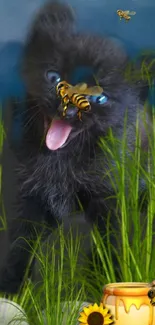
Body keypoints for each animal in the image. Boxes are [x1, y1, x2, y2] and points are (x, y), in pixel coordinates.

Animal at [0, 0, 151, 294]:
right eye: (54, 77)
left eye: (100, 98)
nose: (68, 110)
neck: (60, 161)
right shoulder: (26, 197)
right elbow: (20, 243)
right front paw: (11, 289)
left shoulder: (110, 196)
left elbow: (111, 243)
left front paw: (107, 281)